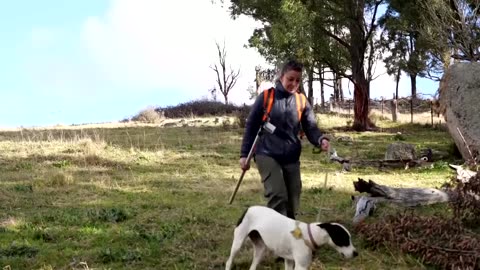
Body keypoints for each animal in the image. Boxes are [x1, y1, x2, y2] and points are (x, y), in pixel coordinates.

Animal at [225, 206, 356, 268]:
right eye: (344, 239)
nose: (356, 253)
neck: (308, 235)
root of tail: (249, 208)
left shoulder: (289, 260)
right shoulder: (301, 266)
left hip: (260, 249)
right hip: (237, 244)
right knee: (228, 262)